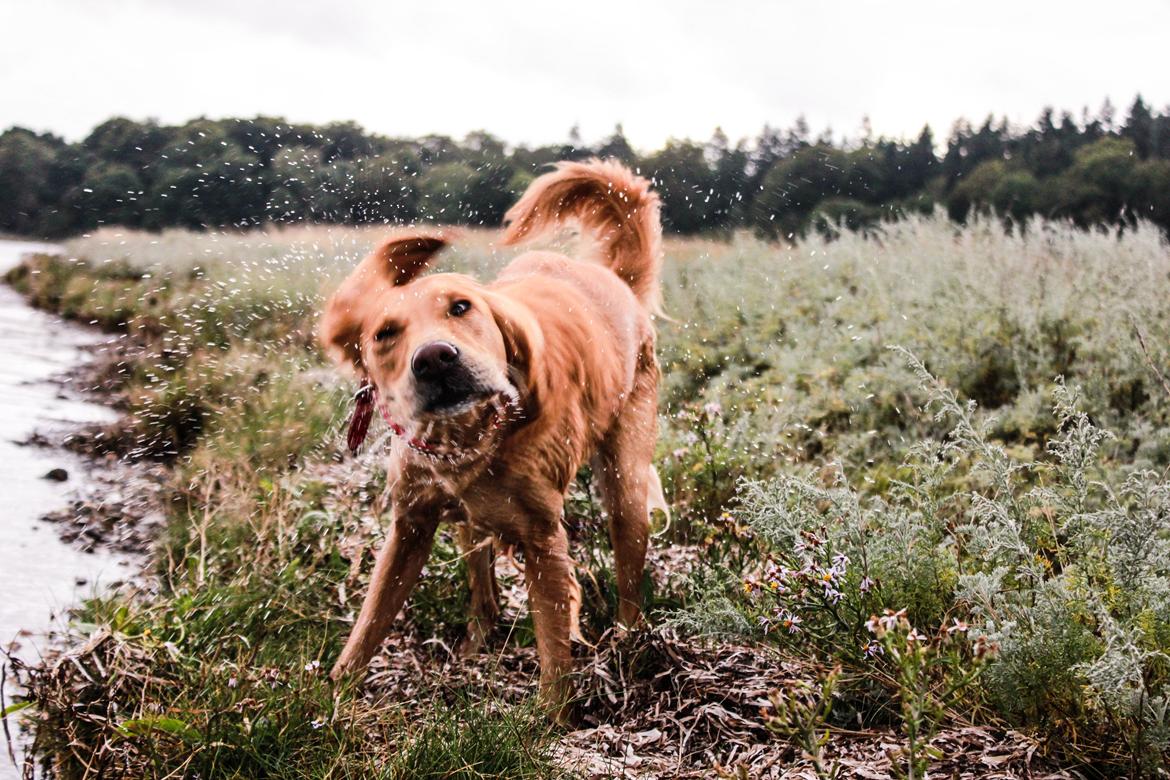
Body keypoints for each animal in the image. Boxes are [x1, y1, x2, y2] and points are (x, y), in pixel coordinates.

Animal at [318, 159, 669, 715]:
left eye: (461, 308)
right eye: (384, 334)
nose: (435, 358)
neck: (469, 439)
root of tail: (615, 281)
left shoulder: (543, 538)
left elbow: (553, 644)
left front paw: (550, 718)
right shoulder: (409, 526)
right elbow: (370, 620)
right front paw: (334, 693)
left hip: (625, 486)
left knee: (630, 581)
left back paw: (628, 644)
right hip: (467, 521)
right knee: (482, 586)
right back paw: (479, 638)